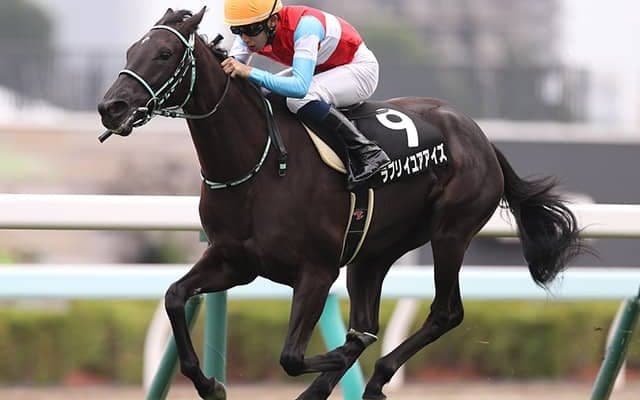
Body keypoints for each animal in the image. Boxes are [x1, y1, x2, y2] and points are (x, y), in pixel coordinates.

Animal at [97, 8, 586, 400]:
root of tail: (480, 136)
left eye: (164, 54)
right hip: (373, 253)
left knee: (444, 312)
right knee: (368, 322)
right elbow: (174, 296)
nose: (110, 107)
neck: (258, 164)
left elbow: (292, 356)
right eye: (131, 51)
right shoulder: (234, 260)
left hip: (450, 233)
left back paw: (374, 376)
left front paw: (331, 361)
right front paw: (209, 383)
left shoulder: (316, 271)